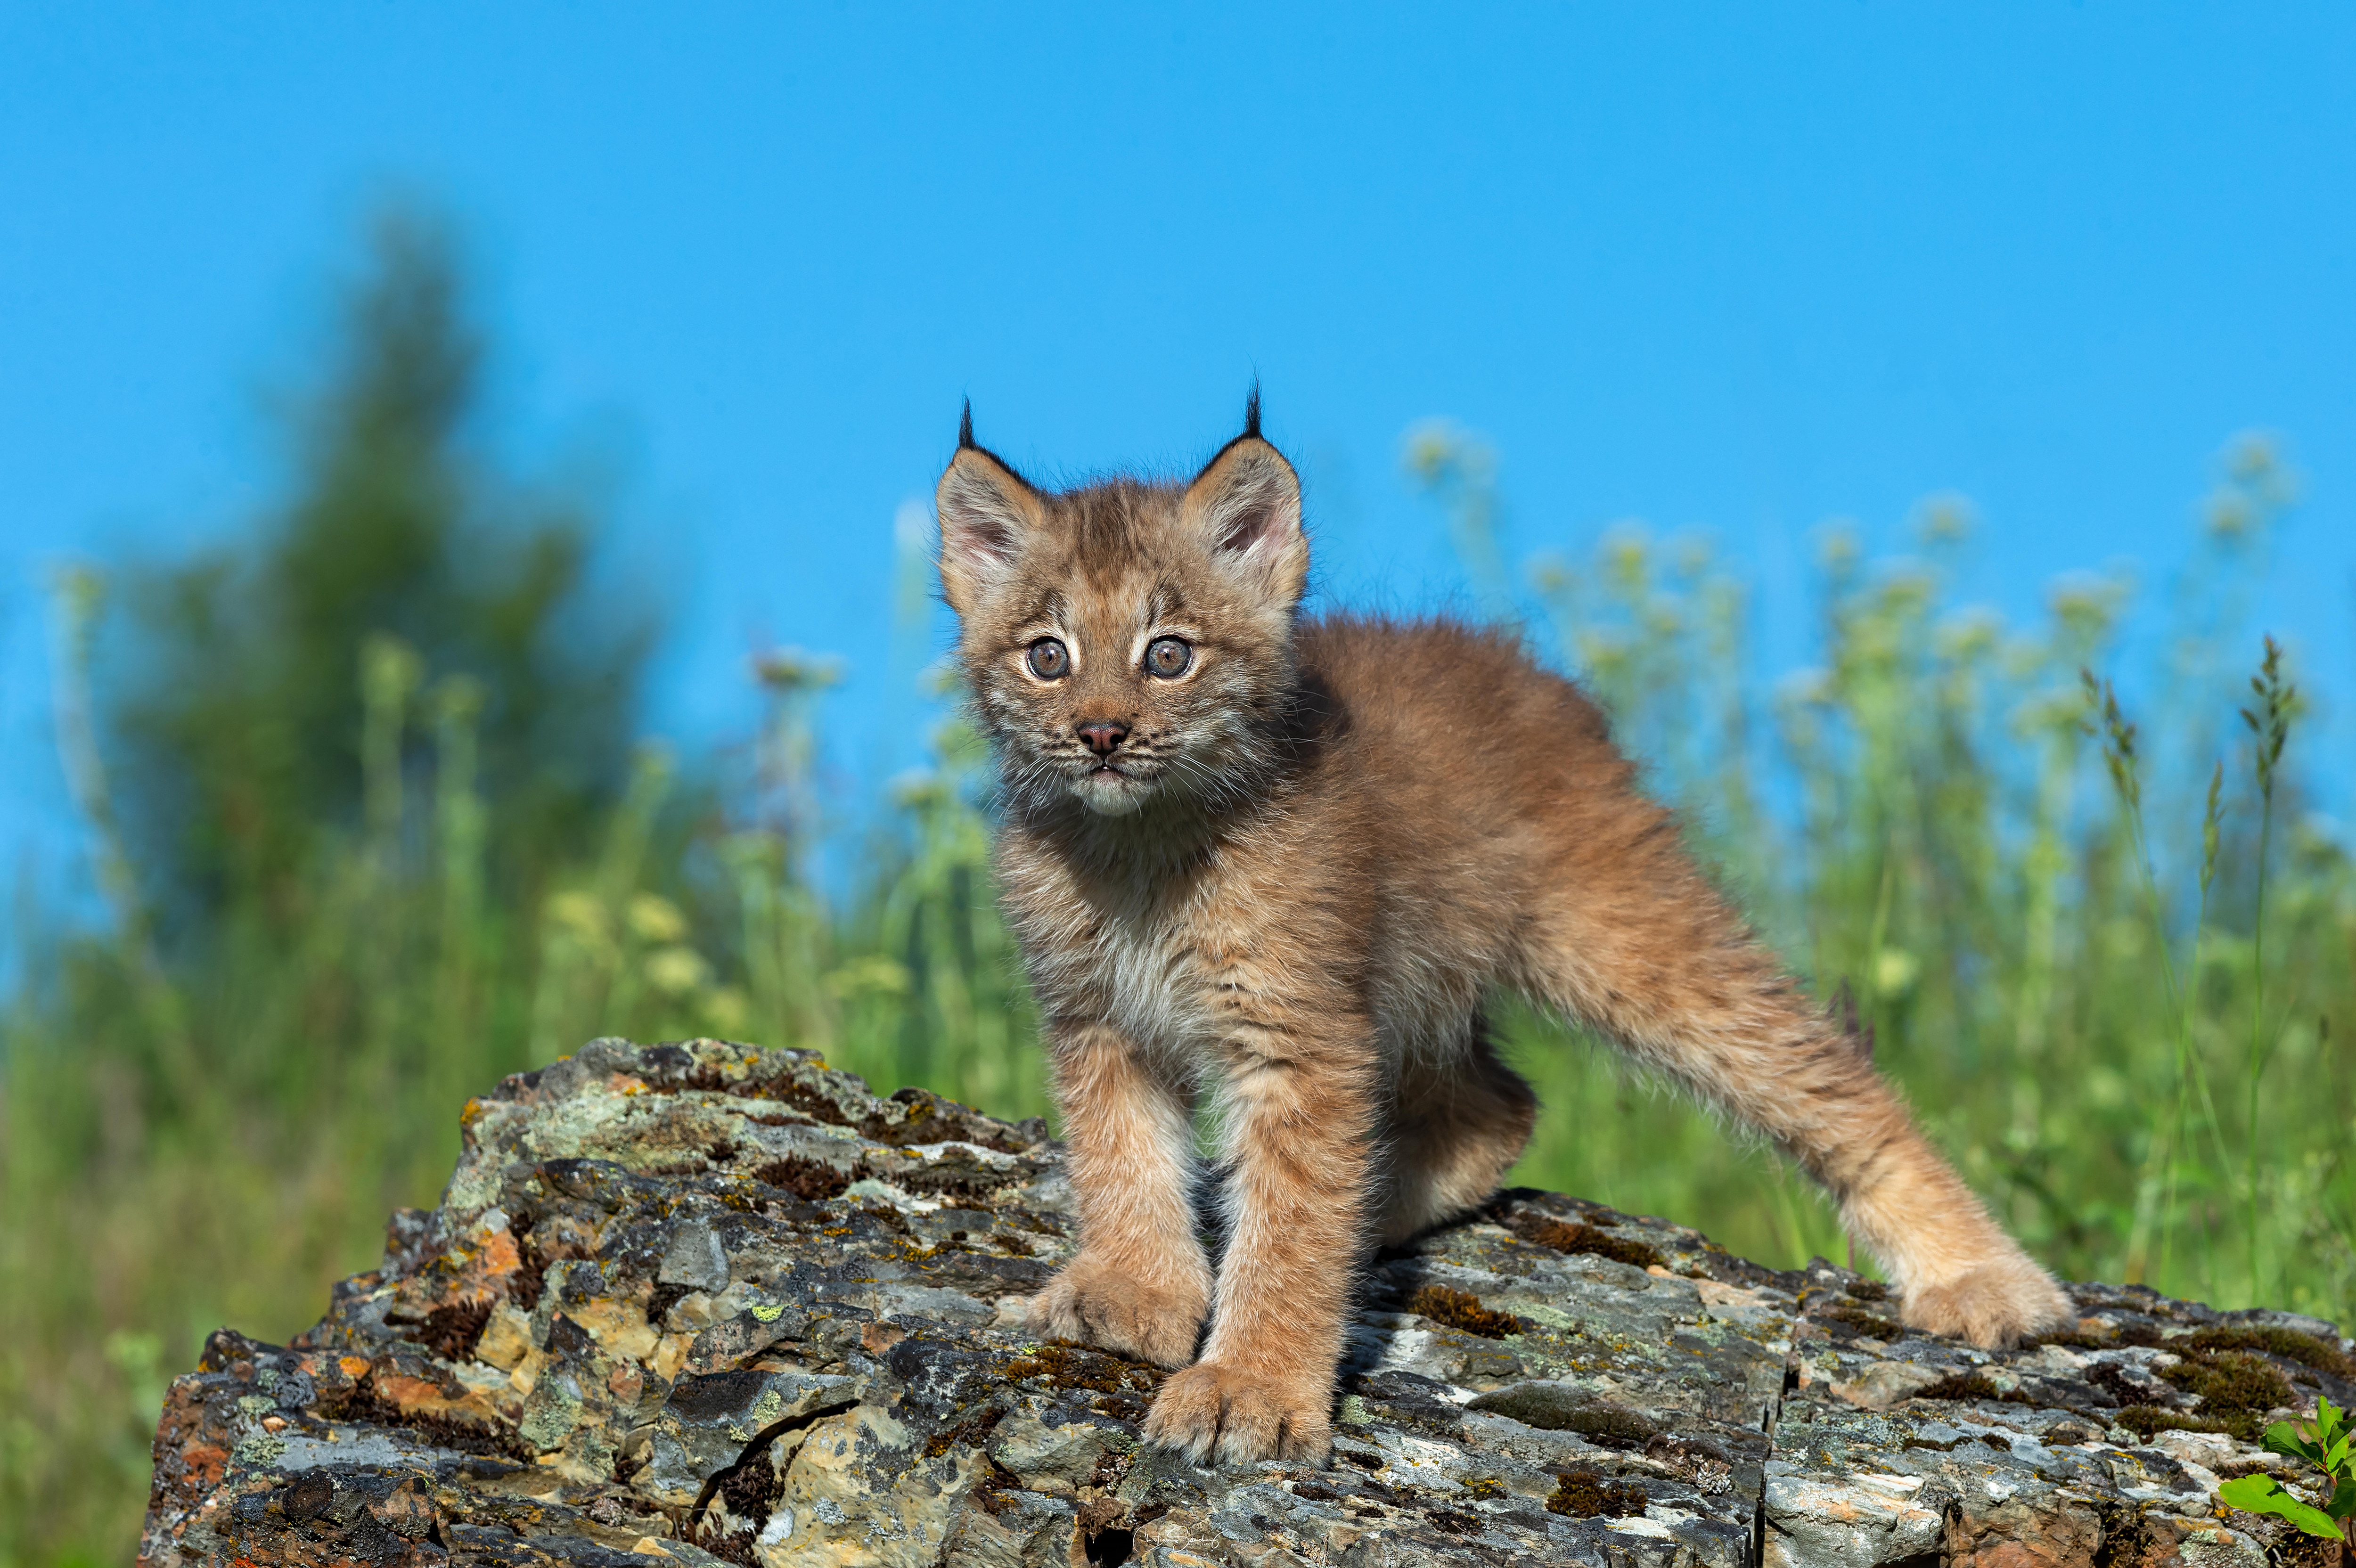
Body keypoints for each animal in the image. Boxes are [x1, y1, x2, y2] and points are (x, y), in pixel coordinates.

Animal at [928, 393, 2073, 1469]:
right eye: (1047, 657)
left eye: (1168, 655)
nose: (1101, 733)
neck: (1143, 846)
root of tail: (1512, 659)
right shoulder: (1096, 1016)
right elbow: (1120, 1156)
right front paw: (1133, 1286)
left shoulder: (1300, 1034)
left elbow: (1291, 1223)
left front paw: (1249, 1386)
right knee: (1502, 1101)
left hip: (1625, 932)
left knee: (1824, 1072)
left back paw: (1987, 1277)